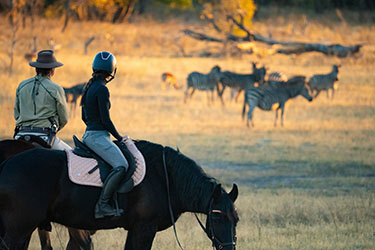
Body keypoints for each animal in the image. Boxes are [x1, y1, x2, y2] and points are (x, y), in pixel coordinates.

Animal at [0, 140, 239, 249]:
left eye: (236, 220)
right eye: (217, 218)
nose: (229, 248)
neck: (165, 177)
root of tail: (7, 164)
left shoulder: (134, 229)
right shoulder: (144, 229)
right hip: (17, 230)